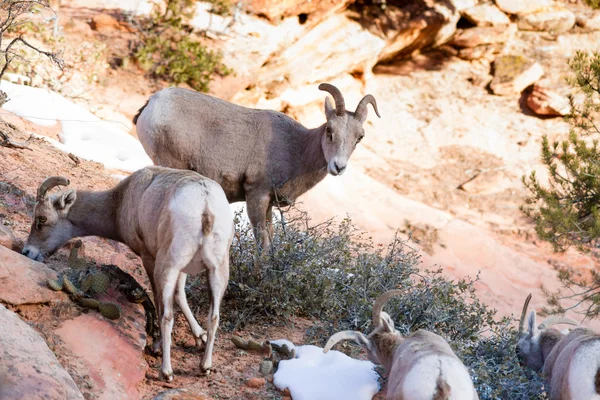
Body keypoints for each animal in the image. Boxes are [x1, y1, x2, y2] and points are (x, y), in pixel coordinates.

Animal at [21, 166, 233, 382]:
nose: (27, 252)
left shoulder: (150, 259)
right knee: (214, 317)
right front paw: (199, 337)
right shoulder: (184, 268)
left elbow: (161, 304)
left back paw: (166, 372)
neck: (121, 202)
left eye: (42, 219)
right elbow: (180, 295)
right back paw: (205, 366)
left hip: (167, 266)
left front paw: (157, 347)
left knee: (167, 316)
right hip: (218, 271)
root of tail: (205, 206)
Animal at [134, 82, 382, 248]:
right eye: (330, 130)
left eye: (359, 137)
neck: (297, 149)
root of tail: (152, 103)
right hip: (170, 165)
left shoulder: (269, 204)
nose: (338, 167)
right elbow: (262, 244)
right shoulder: (256, 195)